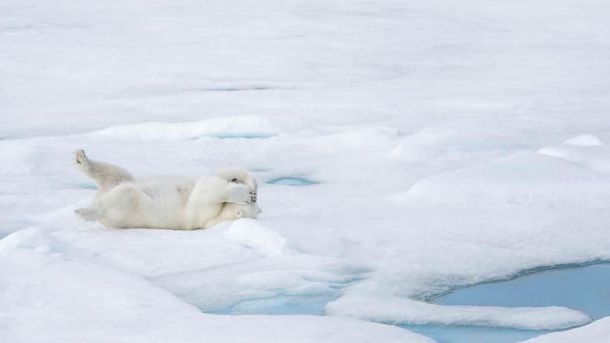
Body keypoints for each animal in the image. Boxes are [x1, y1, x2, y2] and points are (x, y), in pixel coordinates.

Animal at [72, 149, 260, 230]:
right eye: (255, 201)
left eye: (251, 203)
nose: (253, 196)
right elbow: (218, 174)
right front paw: (247, 183)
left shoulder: (202, 216)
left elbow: (209, 191)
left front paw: (242, 192)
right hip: (123, 179)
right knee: (114, 172)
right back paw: (81, 158)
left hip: (130, 209)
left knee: (123, 195)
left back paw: (83, 211)